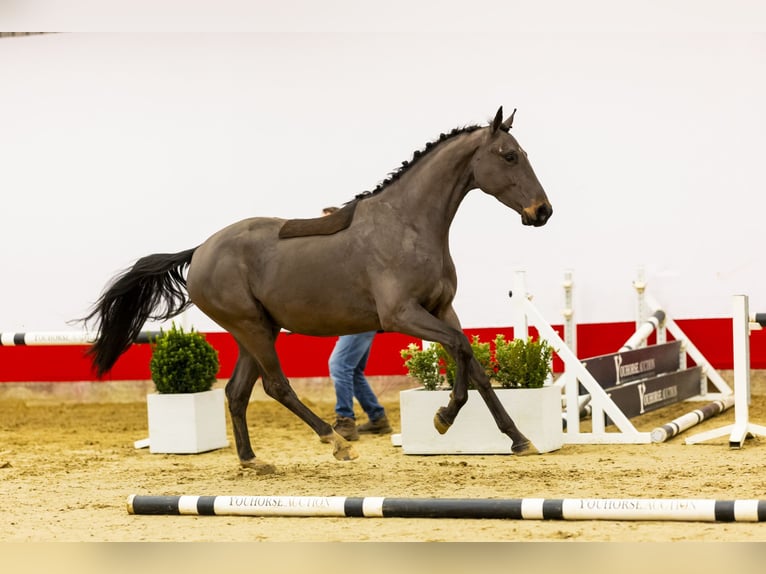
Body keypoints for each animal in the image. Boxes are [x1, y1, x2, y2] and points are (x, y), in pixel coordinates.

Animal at [82, 107, 552, 472]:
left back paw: (252, 460)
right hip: (252, 328)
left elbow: (473, 361)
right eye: (510, 156)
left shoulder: (442, 309)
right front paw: (443, 416)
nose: (542, 211)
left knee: (237, 392)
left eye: (524, 154)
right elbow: (458, 348)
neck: (409, 223)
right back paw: (336, 442)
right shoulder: (402, 315)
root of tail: (199, 251)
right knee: (276, 386)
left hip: (257, 330)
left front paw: (518, 438)